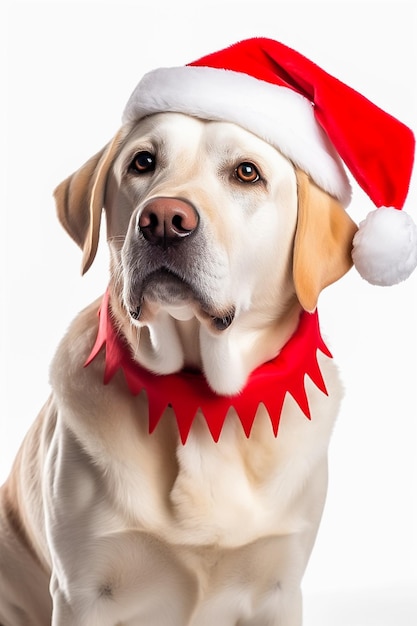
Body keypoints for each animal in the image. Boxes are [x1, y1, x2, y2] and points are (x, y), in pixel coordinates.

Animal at [0, 112, 358, 624]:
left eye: (247, 172)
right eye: (142, 162)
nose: (164, 220)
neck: (200, 397)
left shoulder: (280, 591)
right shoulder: (82, 594)